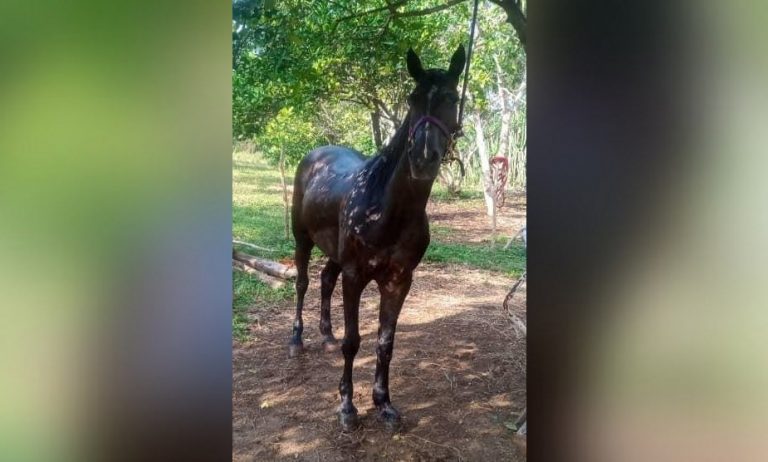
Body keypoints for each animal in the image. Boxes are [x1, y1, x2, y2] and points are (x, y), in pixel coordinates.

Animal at [289, 45, 466, 431]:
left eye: (451, 97)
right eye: (413, 99)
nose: (423, 158)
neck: (385, 208)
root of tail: (315, 154)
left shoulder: (399, 280)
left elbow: (385, 343)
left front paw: (383, 403)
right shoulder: (355, 276)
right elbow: (353, 342)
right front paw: (347, 407)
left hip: (333, 253)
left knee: (325, 280)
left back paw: (326, 334)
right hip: (301, 240)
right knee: (303, 282)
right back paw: (296, 338)